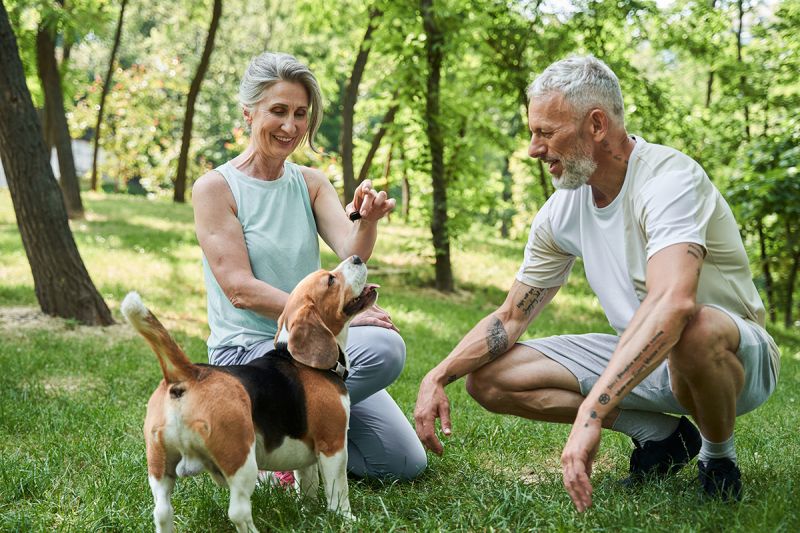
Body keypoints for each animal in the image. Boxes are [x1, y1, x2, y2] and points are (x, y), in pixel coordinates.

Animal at [122, 256, 378, 528]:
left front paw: (308, 512)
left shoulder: (307, 452)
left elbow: (307, 485)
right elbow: (338, 489)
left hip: (159, 467)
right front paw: (347, 518)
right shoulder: (333, 444)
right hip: (241, 461)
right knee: (238, 512)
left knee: (161, 512)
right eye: (330, 280)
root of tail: (189, 374)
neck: (299, 360)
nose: (357, 258)